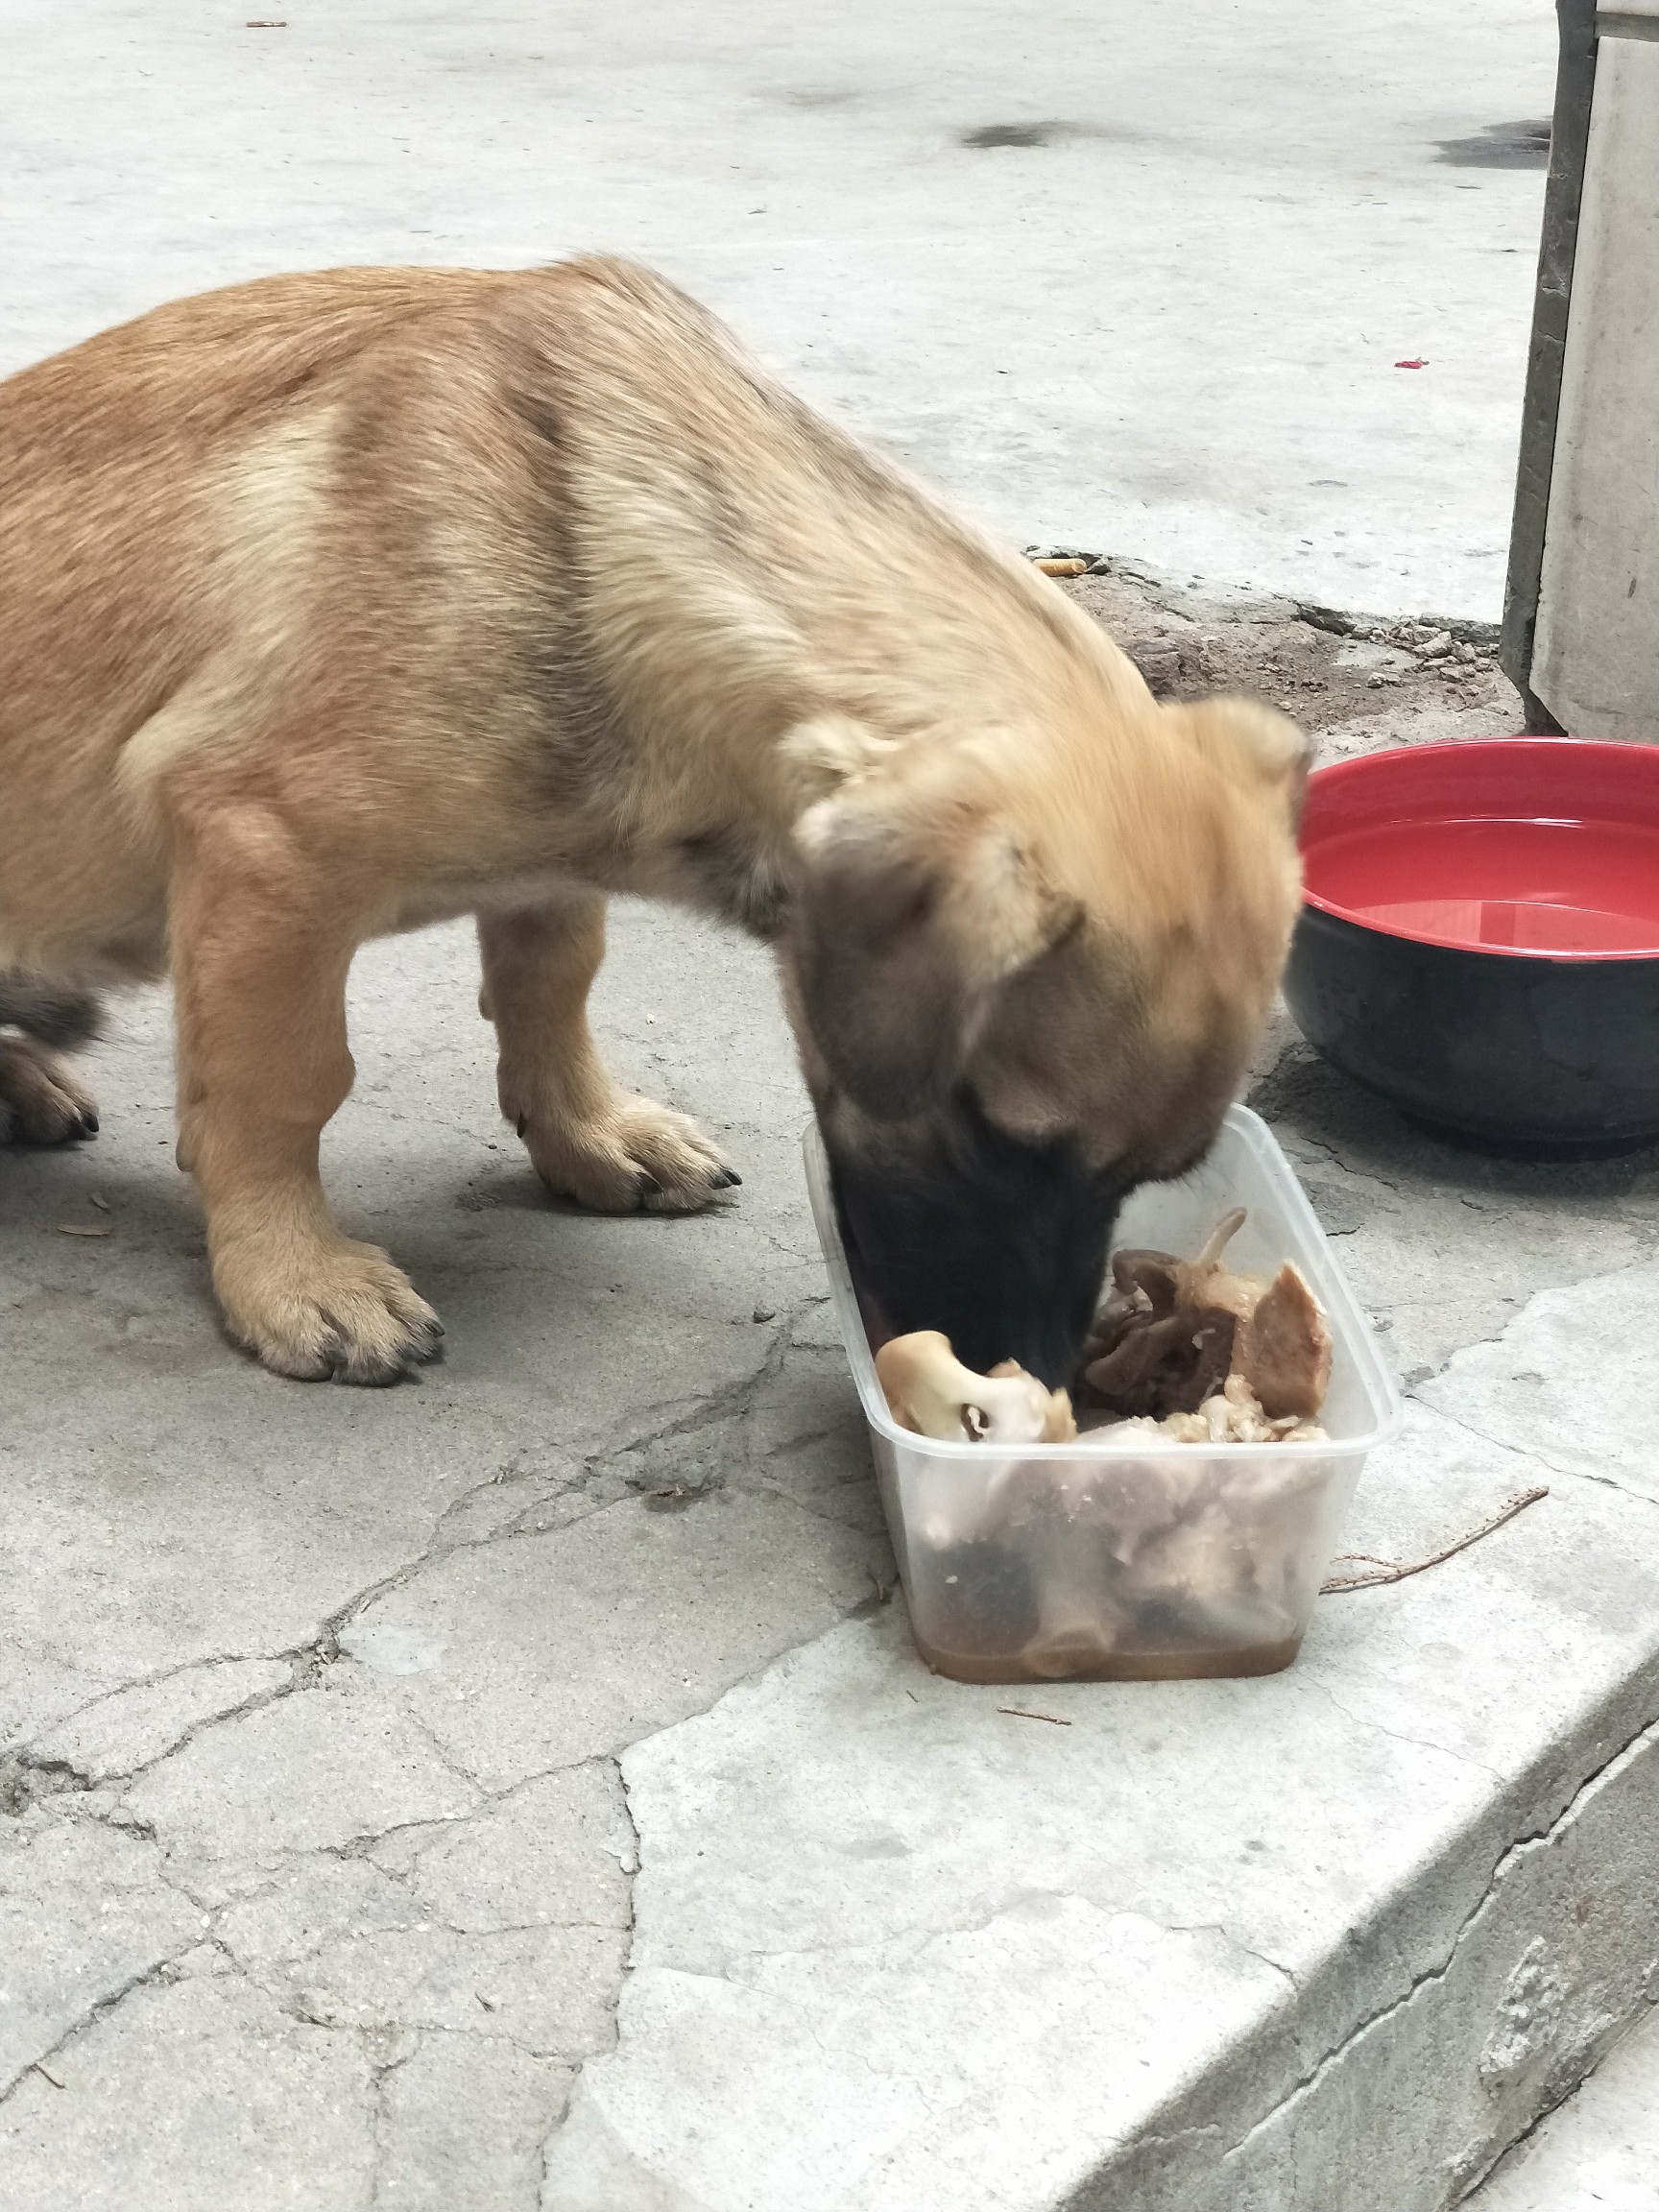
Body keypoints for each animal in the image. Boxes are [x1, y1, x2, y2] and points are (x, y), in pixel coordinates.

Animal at [3, 263, 1309, 1380]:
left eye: (1155, 1176)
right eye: (995, 1134)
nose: (1034, 1375)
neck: (601, 532)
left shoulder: (544, 871)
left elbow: (553, 983)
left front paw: (586, 1134)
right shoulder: (268, 858)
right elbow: (283, 1087)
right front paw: (294, 1274)